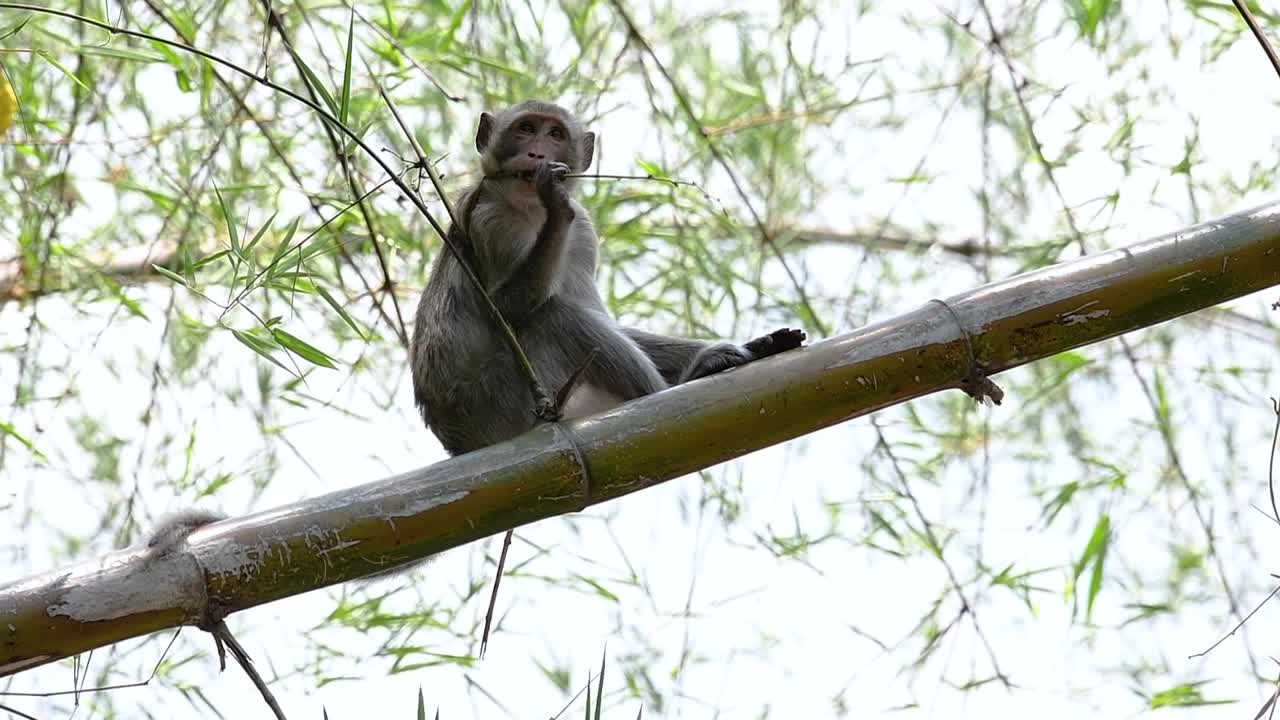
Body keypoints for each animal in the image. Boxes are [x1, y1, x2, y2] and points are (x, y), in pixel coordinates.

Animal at [411, 100, 805, 456]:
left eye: (555, 134)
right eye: (525, 128)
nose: (536, 153)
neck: (530, 212)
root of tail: (460, 444)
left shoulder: (584, 235)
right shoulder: (492, 221)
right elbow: (504, 309)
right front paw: (556, 205)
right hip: (504, 403)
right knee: (553, 315)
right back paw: (679, 382)